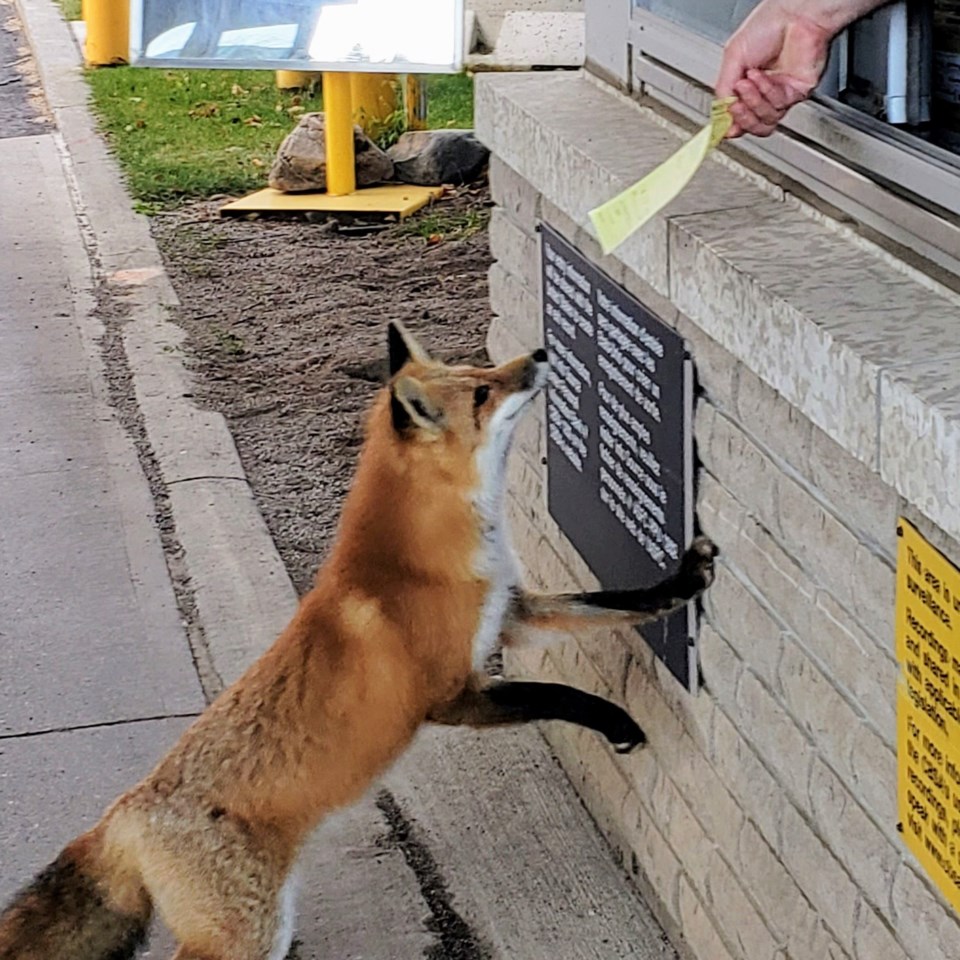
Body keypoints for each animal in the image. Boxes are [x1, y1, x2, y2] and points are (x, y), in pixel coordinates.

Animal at [0, 324, 716, 960]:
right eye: (482, 392)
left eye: (475, 370)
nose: (539, 354)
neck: (427, 560)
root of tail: (121, 814)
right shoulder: (454, 696)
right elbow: (559, 694)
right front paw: (619, 723)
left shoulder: (513, 611)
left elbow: (616, 603)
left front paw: (684, 580)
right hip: (245, 934)